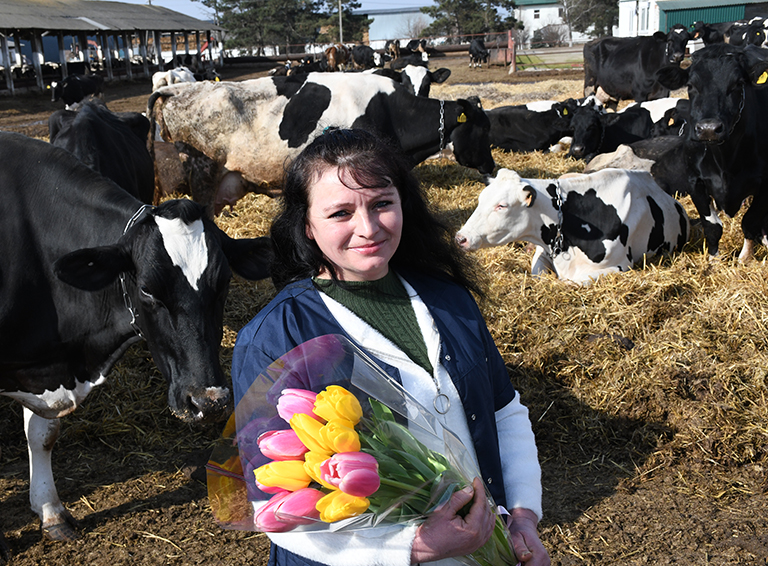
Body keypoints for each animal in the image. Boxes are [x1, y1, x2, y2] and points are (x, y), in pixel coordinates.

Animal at [456, 168, 688, 284]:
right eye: (480, 199)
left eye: (501, 205)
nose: (461, 237)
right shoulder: (544, 250)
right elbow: (539, 274)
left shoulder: (619, 266)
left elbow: (572, 281)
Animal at [652, 43, 768, 258]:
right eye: (691, 85)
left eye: (738, 84)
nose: (709, 129)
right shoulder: (695, 180)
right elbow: (712, 226)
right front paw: (714, 258)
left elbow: (750, 221)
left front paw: (745, 258)